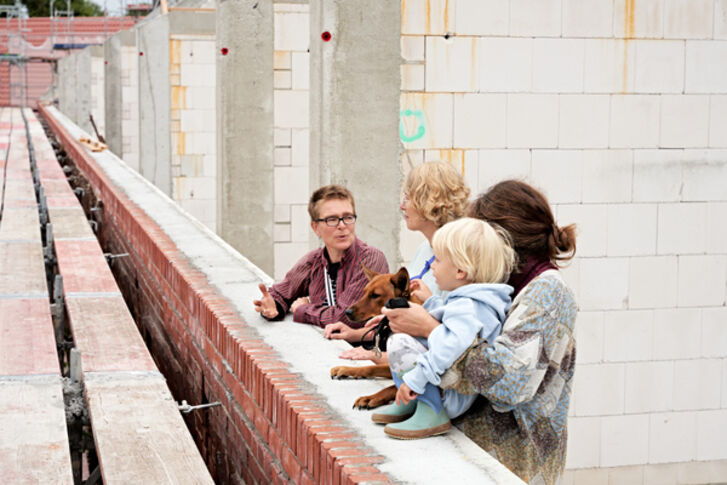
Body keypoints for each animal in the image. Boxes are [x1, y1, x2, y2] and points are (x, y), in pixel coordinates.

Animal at [330, 264, 420, 408]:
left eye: (375, 295)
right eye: (364, 292)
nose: (347, 312)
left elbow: (394, 388)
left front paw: (370, 398)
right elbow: (370, 367)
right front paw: (346, 369)